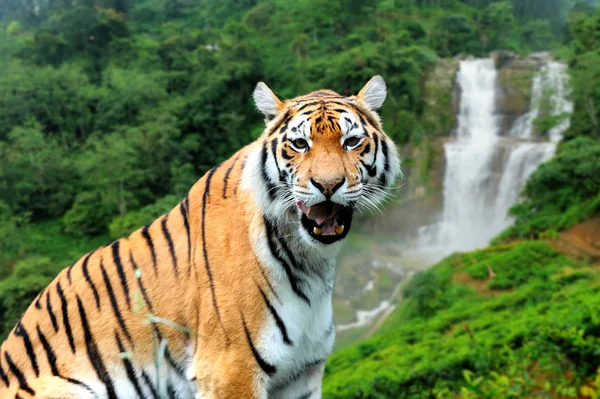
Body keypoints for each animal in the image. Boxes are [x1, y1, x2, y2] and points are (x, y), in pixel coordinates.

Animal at [1, 76, 404, 399]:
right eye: (300, 144)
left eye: (351, 141)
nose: (328, 184)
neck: (311, 260)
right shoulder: (230, 369)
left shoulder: (300, 374)